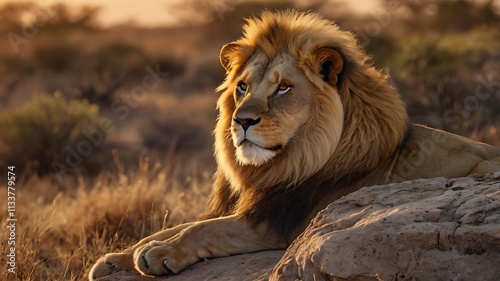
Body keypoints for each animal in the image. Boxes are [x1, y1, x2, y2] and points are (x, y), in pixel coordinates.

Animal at [90, 9, 500, 278]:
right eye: (243, 86)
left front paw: (160, 254)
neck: (288, 160)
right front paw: (119, 256)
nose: (242, 121)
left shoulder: (278, 222)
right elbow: (173, 226)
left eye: (283, 88)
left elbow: (203, 229)